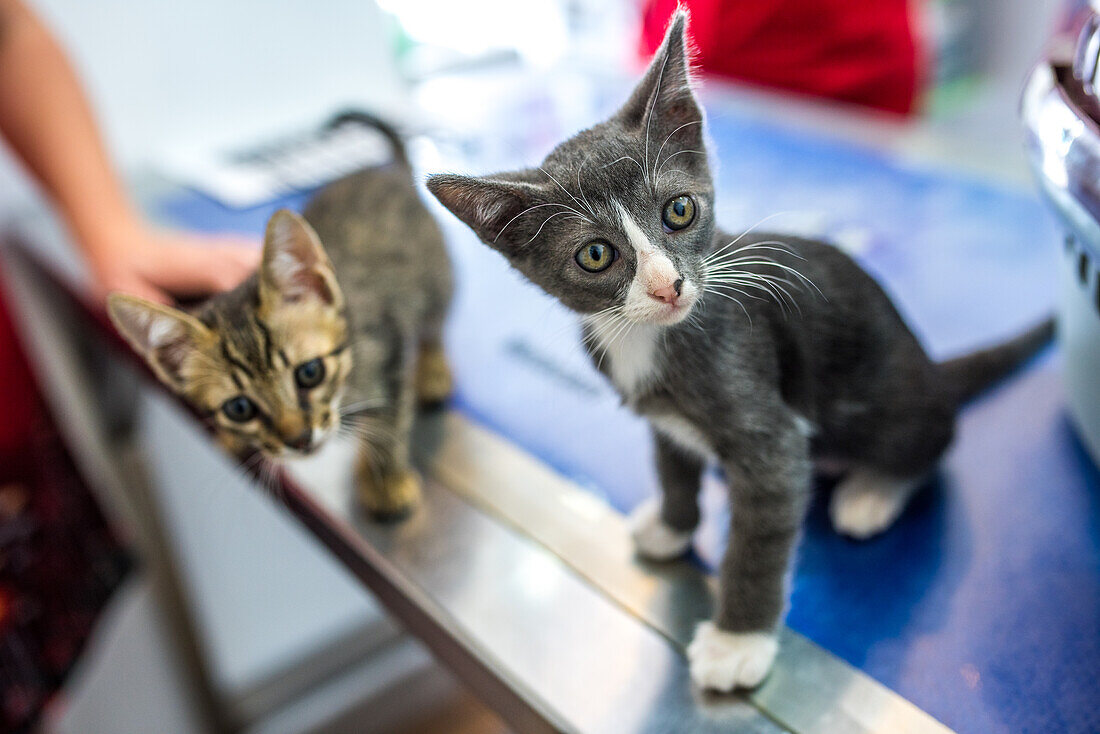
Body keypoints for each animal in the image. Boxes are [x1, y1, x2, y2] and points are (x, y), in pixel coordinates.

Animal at [424, 14, 1051, 695]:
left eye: (679, 210)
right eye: (595, 255)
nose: (668, 286)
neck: (646, 337)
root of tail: (932, 367)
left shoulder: (766, 431)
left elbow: (758, 542)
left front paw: (737, 641)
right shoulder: (663, 419)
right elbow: (672, 467)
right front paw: (672, 524)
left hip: (897, 407)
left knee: (929, 447)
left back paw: (872, 491)